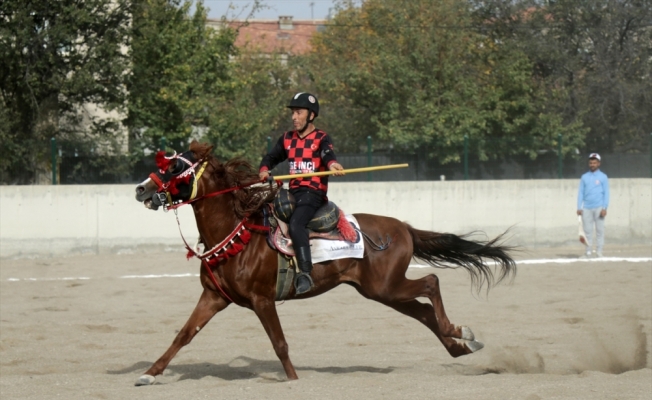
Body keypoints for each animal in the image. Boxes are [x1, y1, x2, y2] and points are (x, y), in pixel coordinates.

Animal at [135, 141, 516, 384]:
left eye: (174, 167)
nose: (141, 189)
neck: (237, 233)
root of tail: (403, 227)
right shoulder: (214, 297)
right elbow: (184, 335)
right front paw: (149, 374)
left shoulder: (262, 300)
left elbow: (279, 343)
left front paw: (292, 380)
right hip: (381, 291)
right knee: (423, 311)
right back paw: (459, 347)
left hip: (386, 285)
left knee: (432, 283)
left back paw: (460, 333)